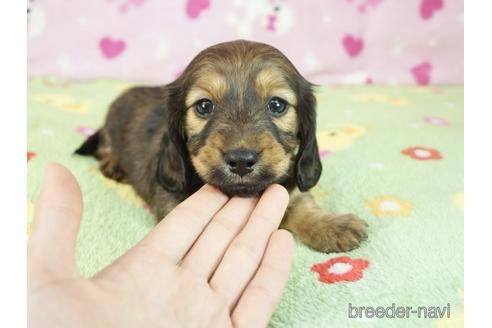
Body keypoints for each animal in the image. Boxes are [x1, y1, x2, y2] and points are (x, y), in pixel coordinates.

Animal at [76, 39, 366, 252]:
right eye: (204, 106)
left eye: (277, 104)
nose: (241, 161)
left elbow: (301, 202)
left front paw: (333, 226)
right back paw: (113, 163)